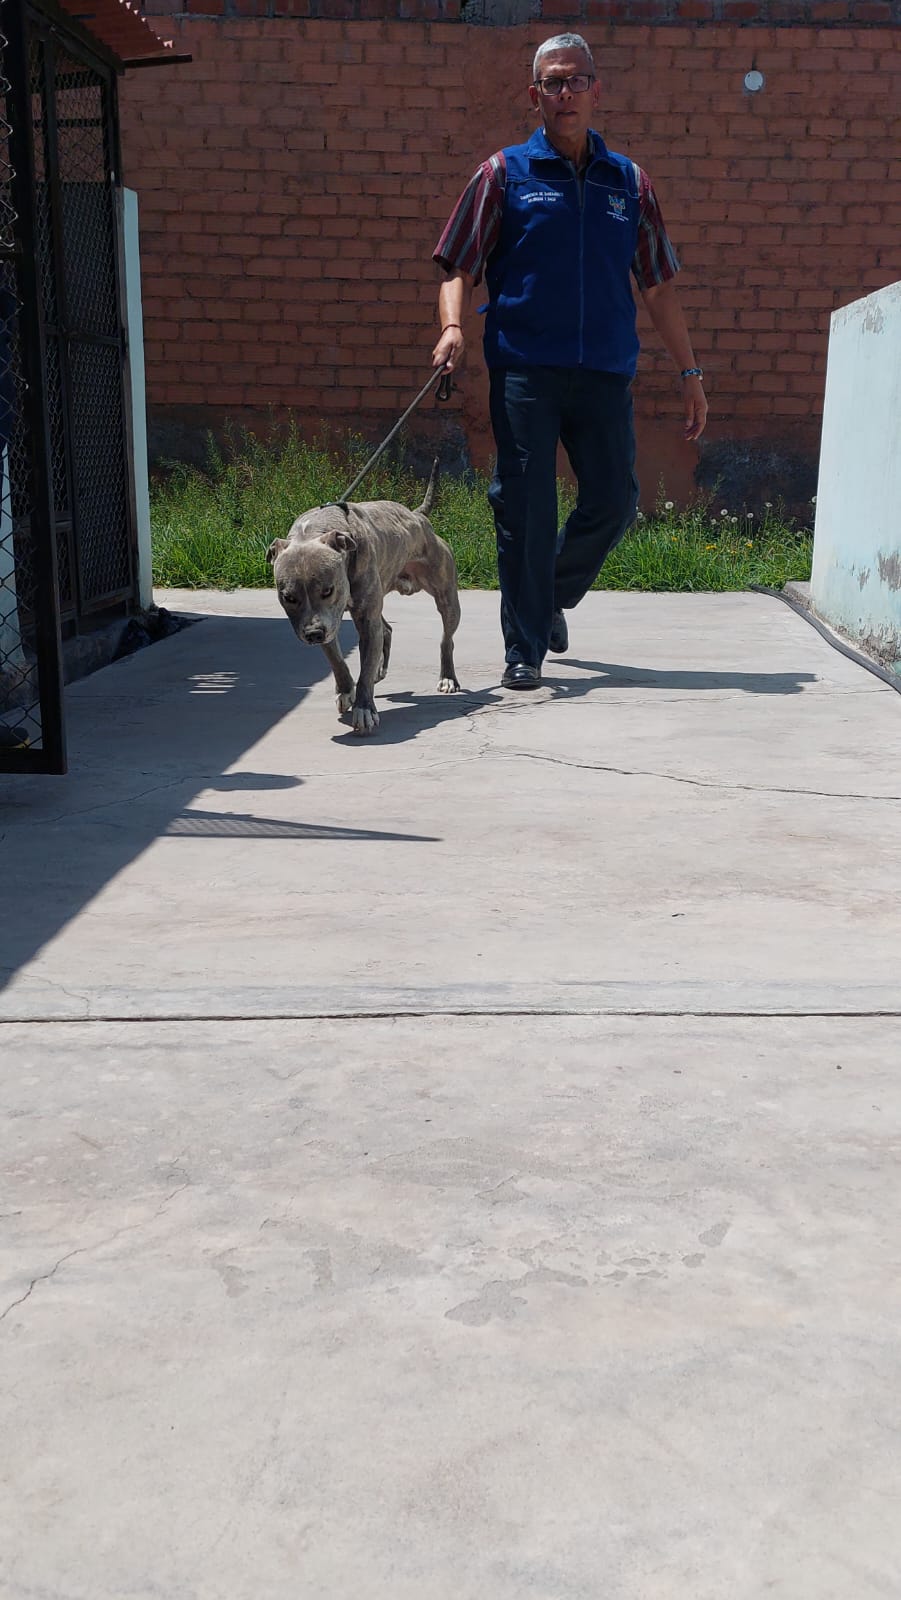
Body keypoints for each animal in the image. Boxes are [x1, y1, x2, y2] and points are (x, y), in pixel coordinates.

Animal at [265, 464, 460, 736]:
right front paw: (346, 690)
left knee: (446, 638)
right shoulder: (331, 622)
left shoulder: (362, 621)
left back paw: (447, 678)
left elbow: (364, 668)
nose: (313, 634)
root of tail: (417, 516)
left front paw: (364, 708)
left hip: (446, 597)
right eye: (289, 597)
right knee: (386, 630)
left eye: (328, 590)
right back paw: (379, 668)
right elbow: (336, 659)